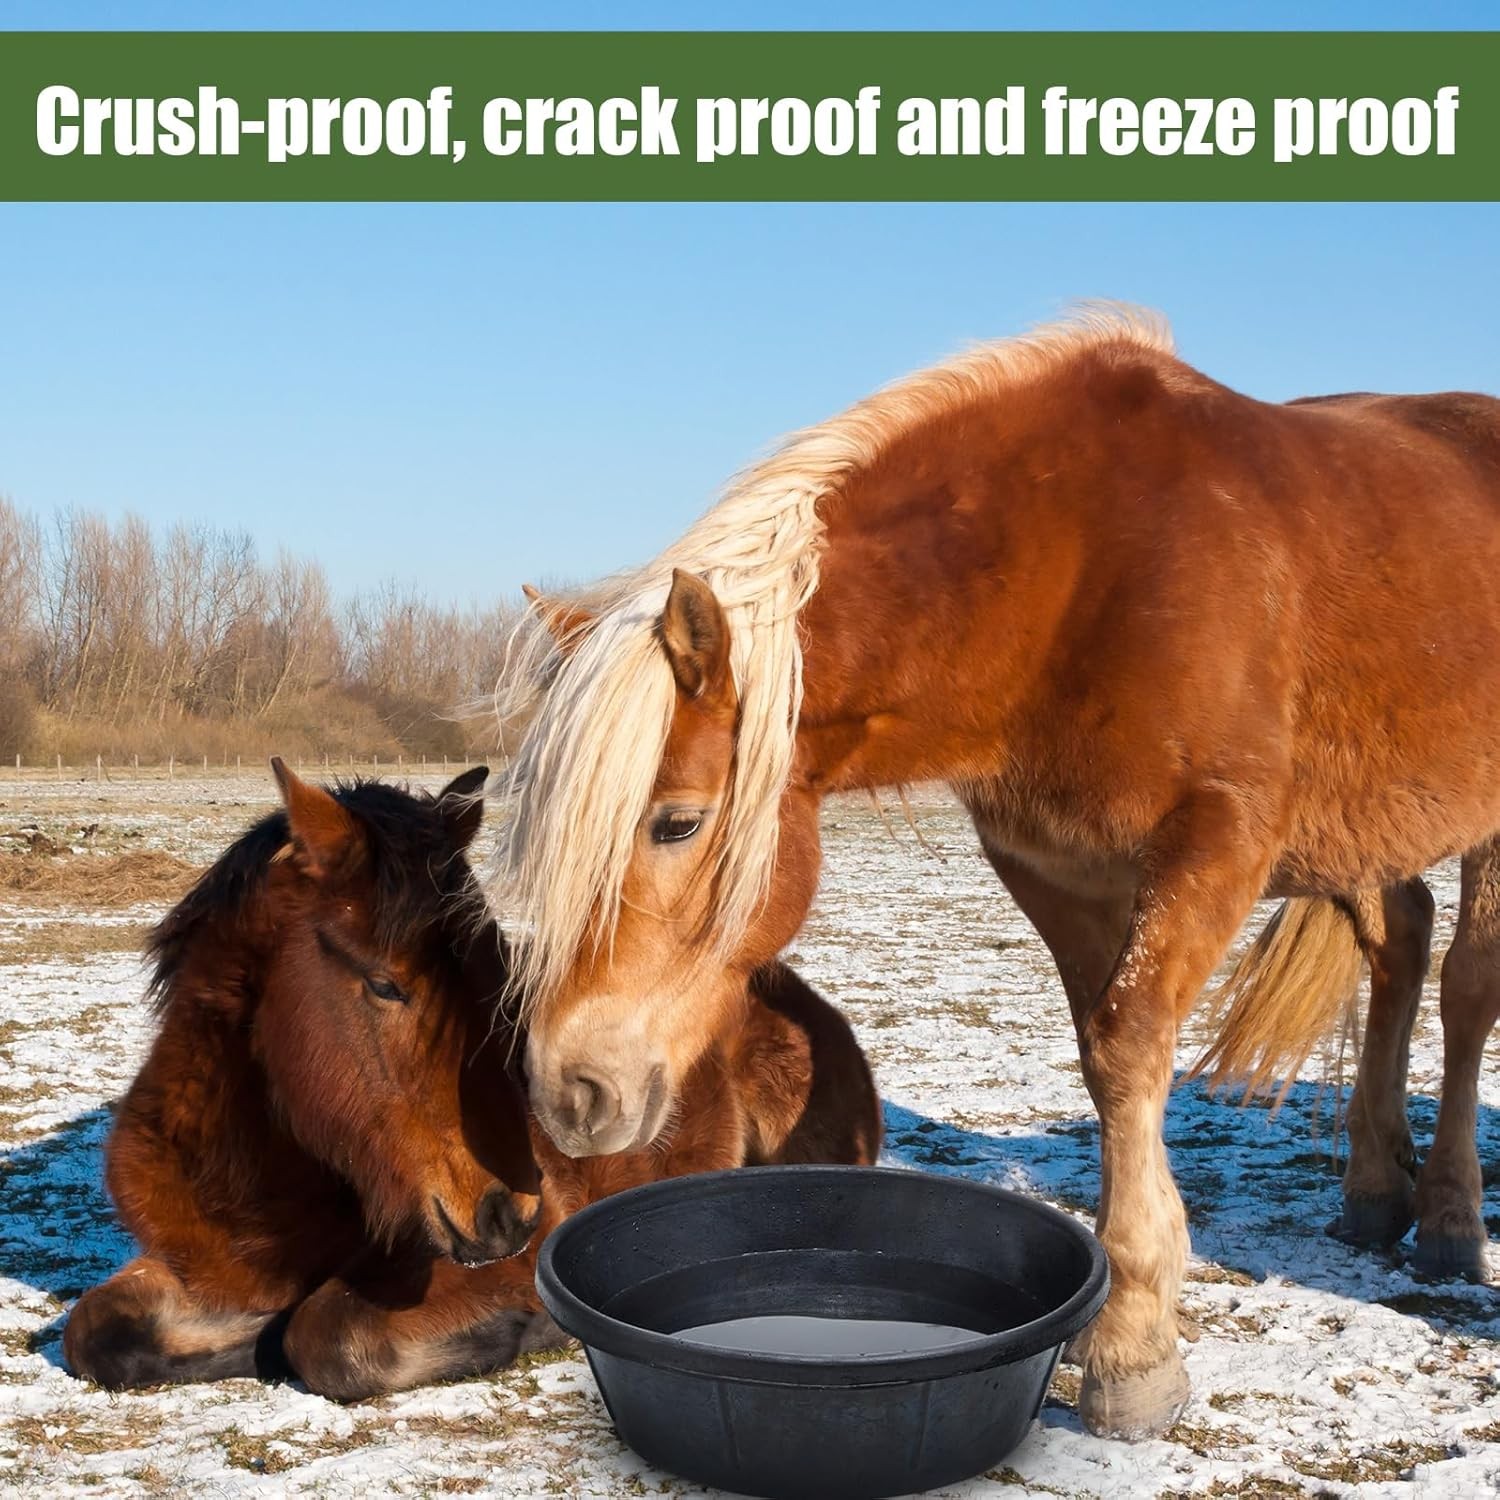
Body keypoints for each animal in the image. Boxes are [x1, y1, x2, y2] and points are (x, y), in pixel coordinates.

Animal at [63, 761, 881, 1400]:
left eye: (498, 975)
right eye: (386, 986)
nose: (510, 1212)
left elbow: (324, 1335)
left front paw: (526, 1328)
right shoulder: (191, 1265)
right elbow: (93, 1331)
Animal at [493, 306, 1500, 1440]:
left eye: (676, 822)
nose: (567, 1090)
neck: (1084, 564)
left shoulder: (1215, 843)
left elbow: (1129, 1045)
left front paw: (1132, 1348)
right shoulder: (1057, 870)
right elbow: (1107, 1059)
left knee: (1466, 991)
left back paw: (1450, 1220)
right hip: (1357, 829)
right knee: (1400, 943)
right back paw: (1374, 1192)